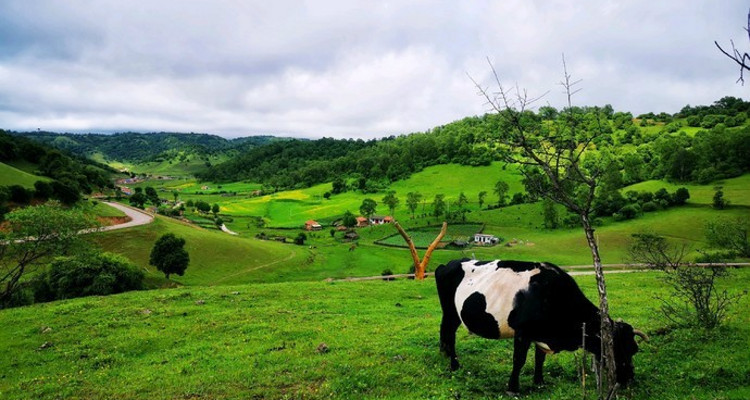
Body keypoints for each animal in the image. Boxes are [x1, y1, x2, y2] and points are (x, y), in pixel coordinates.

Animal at [438, 260, 648, 394]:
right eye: (616, 348)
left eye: (634, 349)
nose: (629, 377)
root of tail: (450, 263)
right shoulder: (522, 332)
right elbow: (519, 360)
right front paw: (512, 388)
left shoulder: (539, 334)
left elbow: (540, 359)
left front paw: (539, 382)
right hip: (451, 312)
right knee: (450, 334)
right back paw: (454, 364)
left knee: (445, 332)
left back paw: (445, 355)